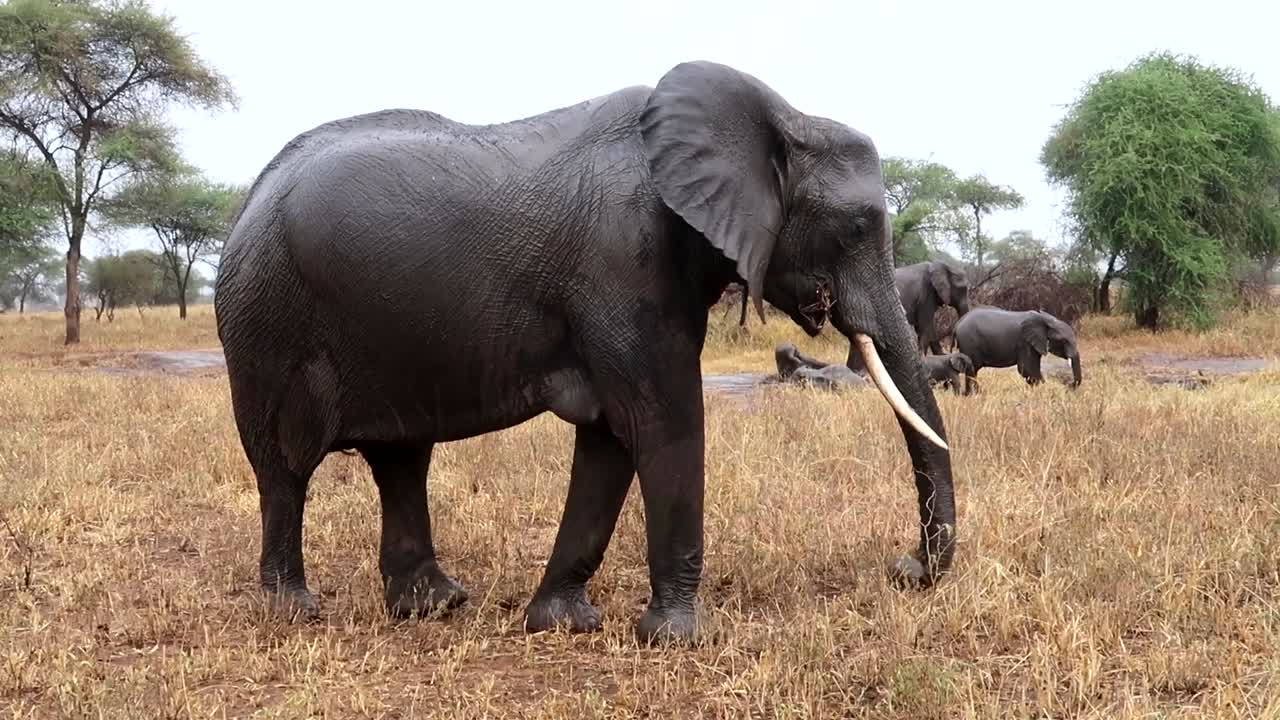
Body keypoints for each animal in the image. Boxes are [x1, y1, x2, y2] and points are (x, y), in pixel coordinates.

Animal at [213, 60, 956, 647]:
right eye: (857, 227)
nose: (906, 569)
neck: (778, 114)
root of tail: (250, 195)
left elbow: (609, 438)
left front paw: (562, 624)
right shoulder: (624, 259)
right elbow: (660, 420)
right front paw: (678, 639)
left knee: (401, 459)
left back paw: (434, 606)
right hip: (265, 320)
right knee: (284, 467)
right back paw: (295, 611)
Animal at [953, 308, 1082, 388]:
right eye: (1064, 341)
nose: (1068, 384)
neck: (1045, 320)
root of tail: (957, 323)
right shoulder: (1024, 342)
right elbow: (1027, 369)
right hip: (969, 342)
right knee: (972, 370)